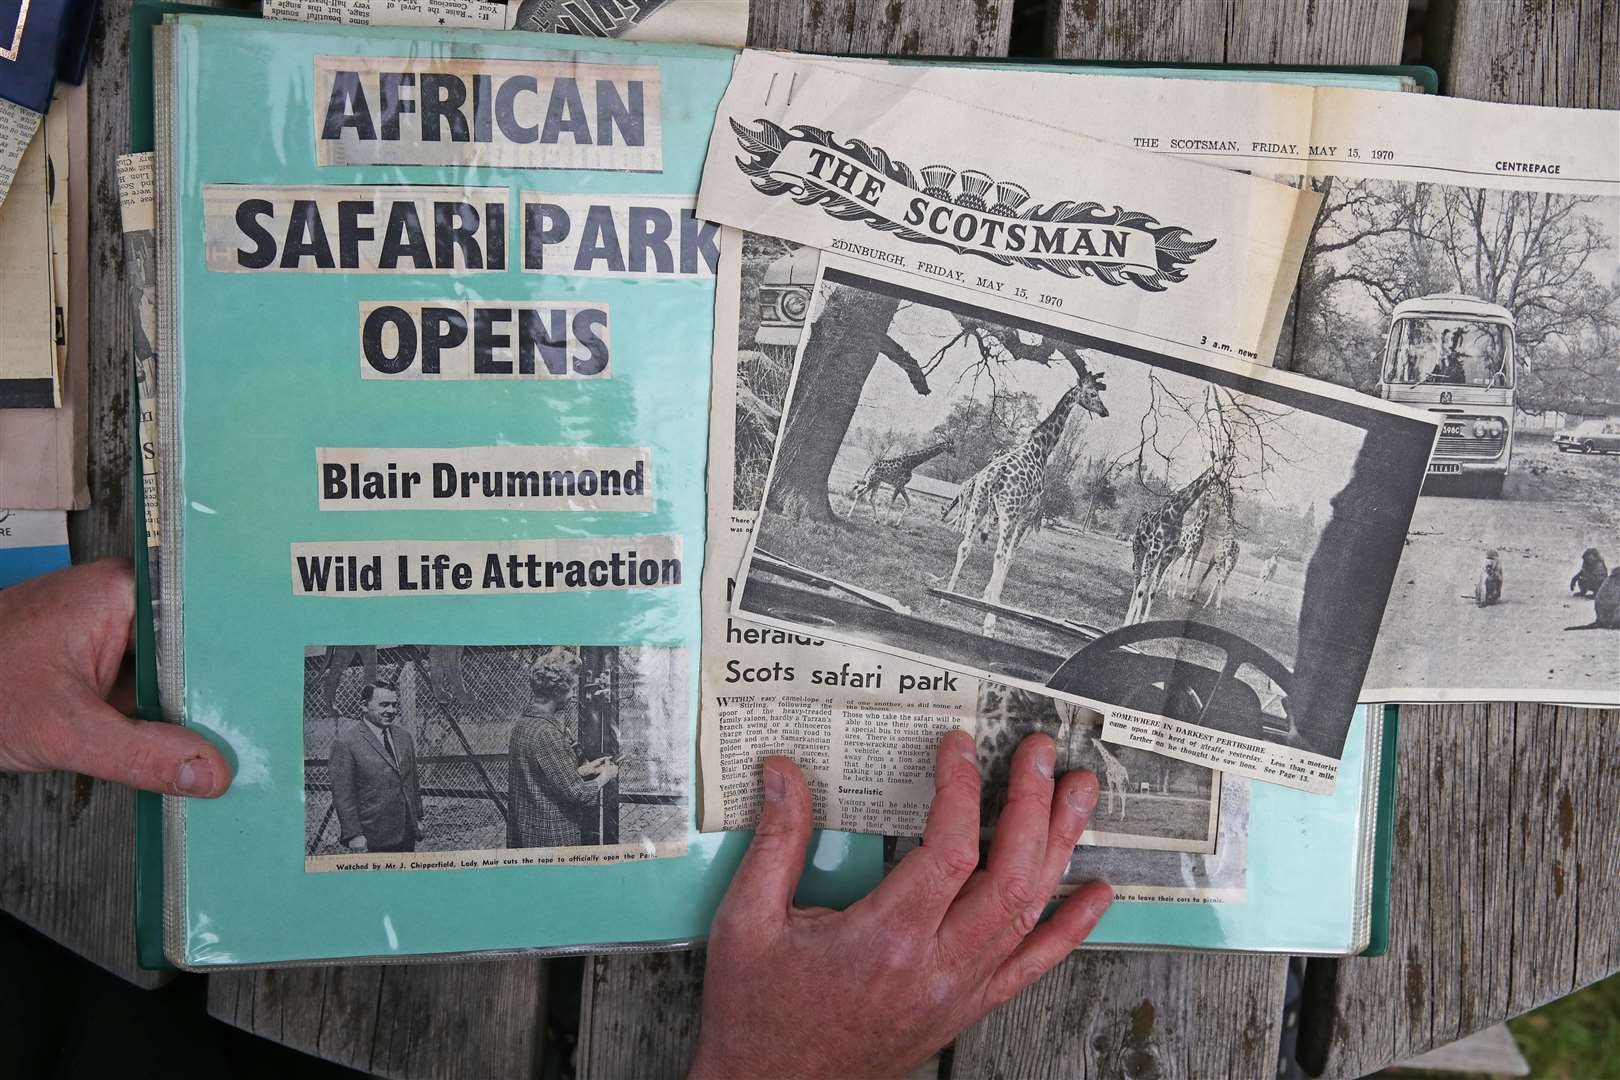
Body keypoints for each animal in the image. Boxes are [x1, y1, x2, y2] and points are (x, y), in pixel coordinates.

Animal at [946, 362, 1108, 634]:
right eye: (1093, 393)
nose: (1105, 411)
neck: (1042, 448)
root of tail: (993, 475)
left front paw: (986, 597)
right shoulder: (1026, 514)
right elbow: (1010, 557)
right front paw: (991, 601)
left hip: (979, 505)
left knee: (965, 545)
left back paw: (946, 597)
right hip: (1008, 513)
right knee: (999, 555)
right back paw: (989, 621)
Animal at [1127, 440, 1237, 625]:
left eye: (1226, 463)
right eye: (1215, 460)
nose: (1219, 474)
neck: (1177, 512)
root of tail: (1141, 518)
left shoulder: (1167, 554)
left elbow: (1152, 590)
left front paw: (1142, 622)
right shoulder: (1155, 550)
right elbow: (1143, 588)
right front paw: (1131, 623)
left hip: (1159, 555)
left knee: (1145, 581)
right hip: (1139, 548)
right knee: (1137, 581)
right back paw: (1127, 618)